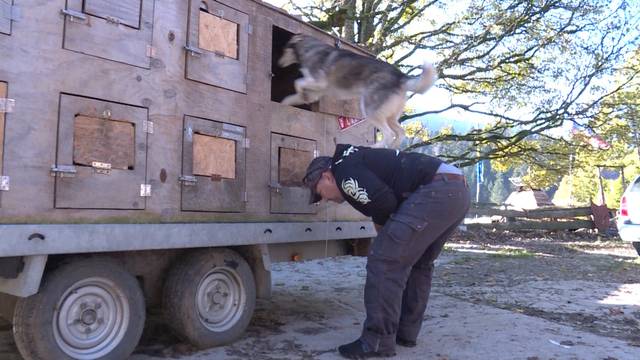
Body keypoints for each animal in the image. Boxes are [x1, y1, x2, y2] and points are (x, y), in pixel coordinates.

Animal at [278, 34, 438, 149]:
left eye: (284, 49)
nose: (278, 64)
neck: (309, 49)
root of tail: (400, 76)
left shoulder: (318, 81)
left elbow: (298, 82)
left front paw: (300, 91)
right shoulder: (315, 91)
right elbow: (292, 97)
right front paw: (286, 103)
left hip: (370, 109)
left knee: (389, 134)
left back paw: (376, 147)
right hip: (391, 116)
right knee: (400, 133)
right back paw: (392, 148)